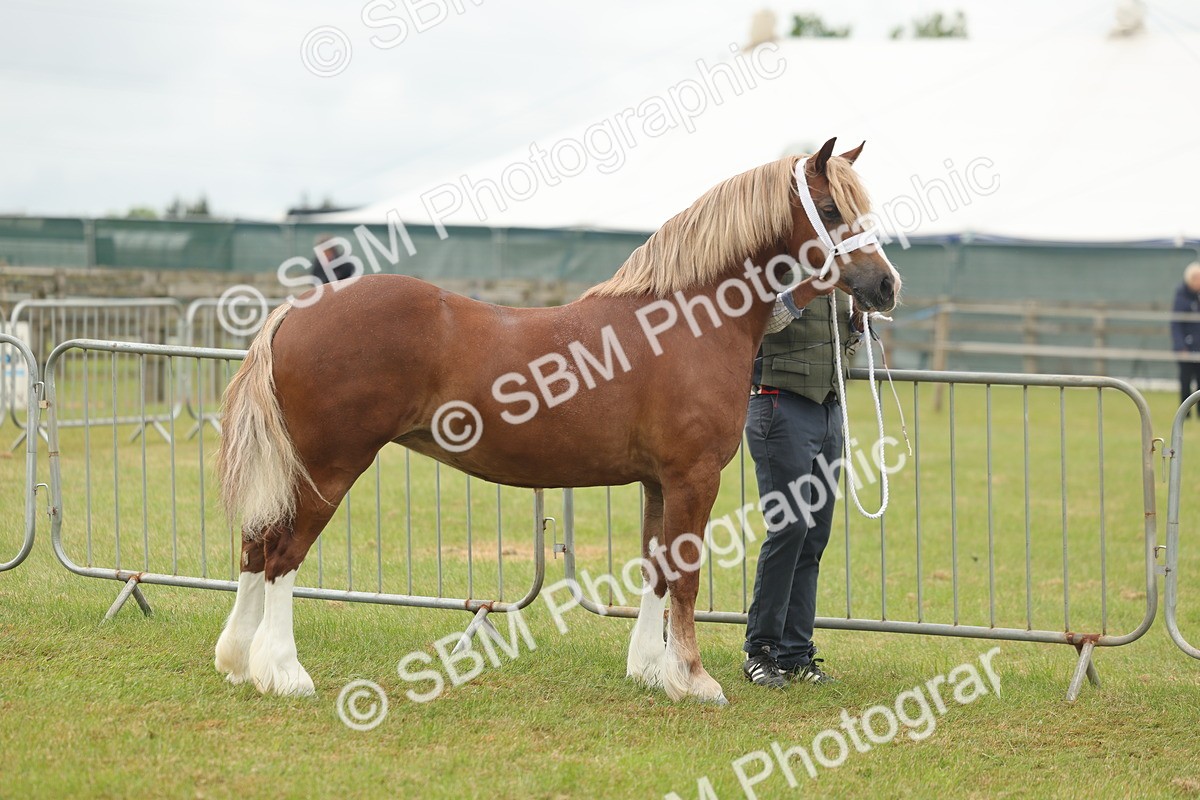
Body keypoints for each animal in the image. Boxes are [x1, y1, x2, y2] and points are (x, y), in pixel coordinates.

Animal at [213, 136, 900, 704]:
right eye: (830, 210)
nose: (886, 287)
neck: (687, 319)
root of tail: (296, 311)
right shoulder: (693, 477)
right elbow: (685, 577)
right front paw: (694, 680)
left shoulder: (657, 483)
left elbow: (655, 570)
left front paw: (649, 670)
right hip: (328, 468)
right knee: (282, 555)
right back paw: (285, 673)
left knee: (254, 545)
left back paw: (239, 663)